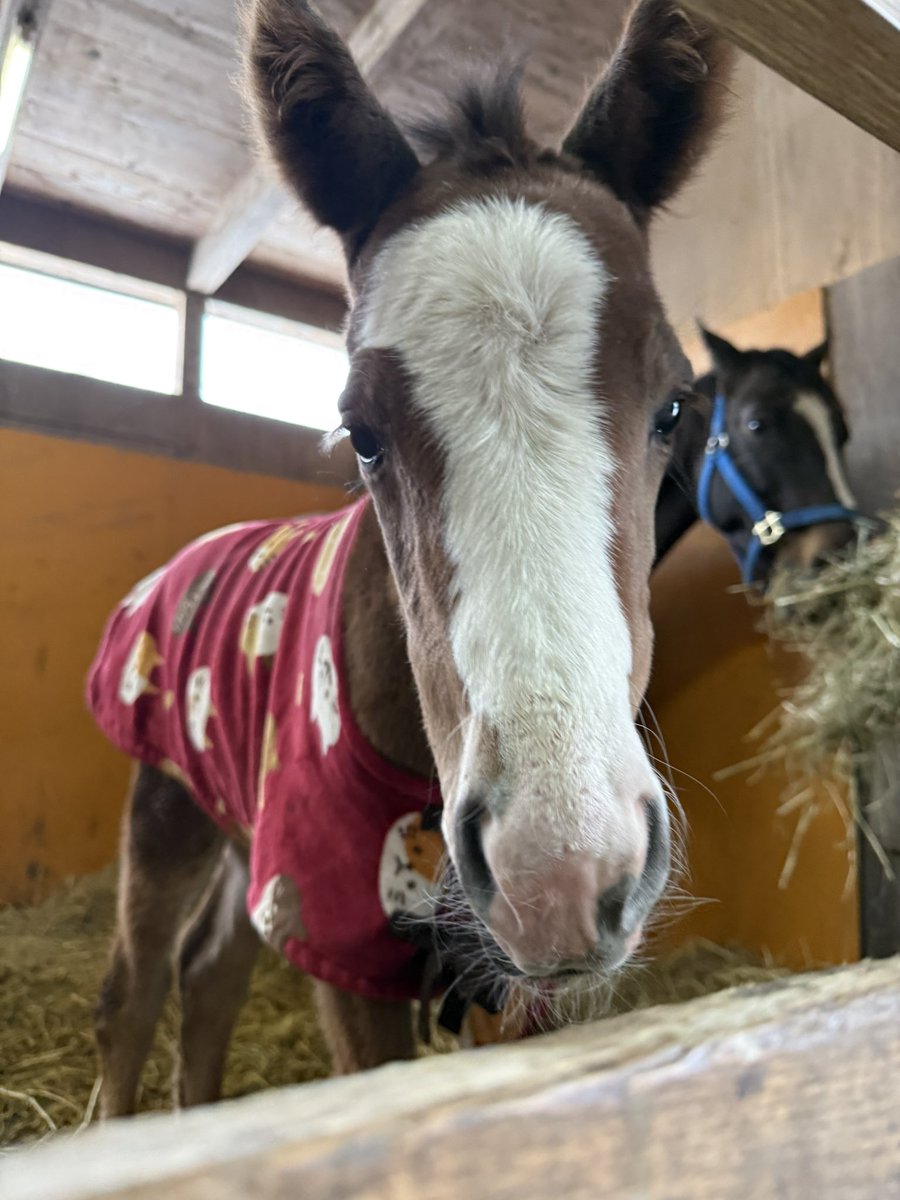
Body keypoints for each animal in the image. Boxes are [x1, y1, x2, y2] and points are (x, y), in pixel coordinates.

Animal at [89, 0, 732, 1115]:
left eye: (675, 408)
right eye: (360, 432)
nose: (559, 868)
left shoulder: (507, 988)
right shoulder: (336, 932)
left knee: (210, 973)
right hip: (168, 808)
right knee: (140, 988)